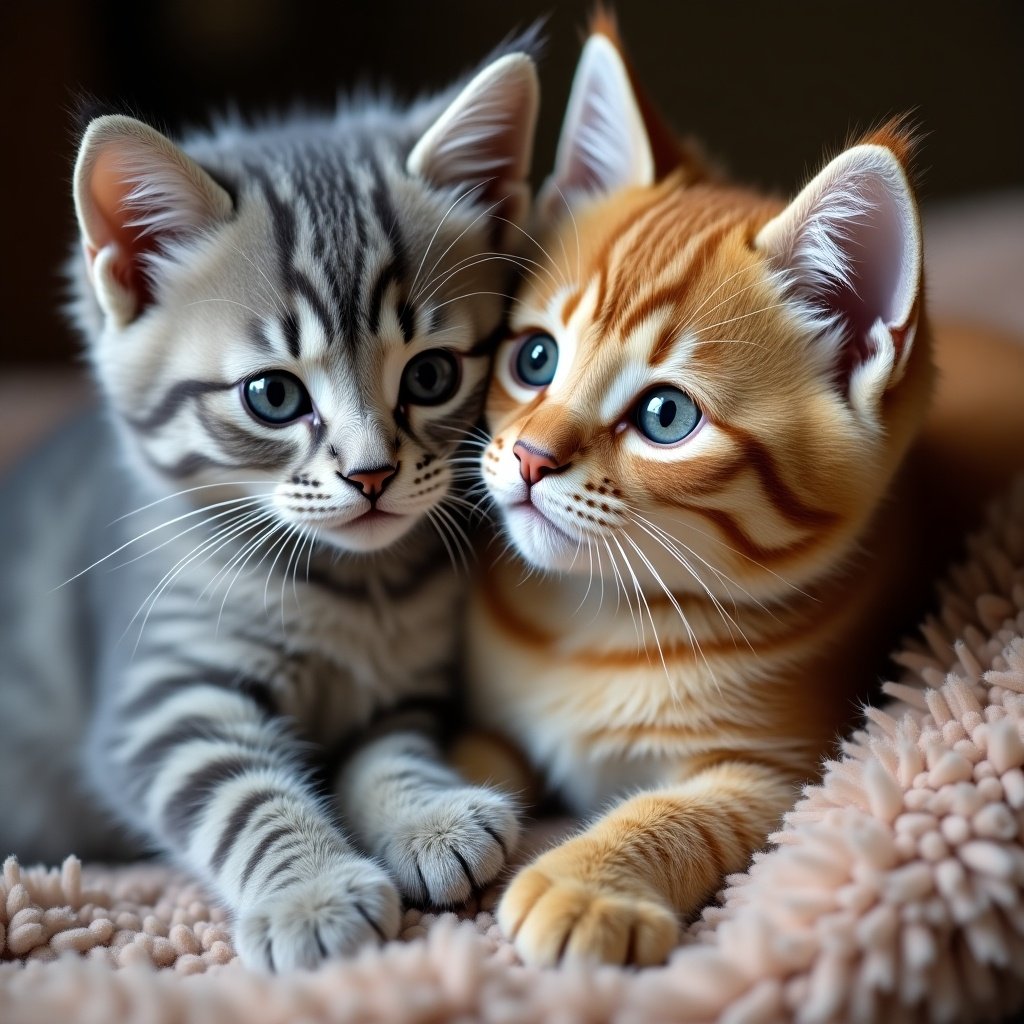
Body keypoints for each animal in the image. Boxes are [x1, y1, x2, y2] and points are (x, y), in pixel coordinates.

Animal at [0, 41, 540, 966]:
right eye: (274, 397)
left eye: (432, 376)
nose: (371, 474)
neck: (355, 592)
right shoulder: (163, 699)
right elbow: (242, 794)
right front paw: (313, 893)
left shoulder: (406, 694)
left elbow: (388, 754)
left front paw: (430, 817)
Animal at [462, 25, 1024, 966]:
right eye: (534, 359)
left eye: (665, 415)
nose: (532, 456)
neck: (591, 623)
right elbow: (463, 745)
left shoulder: (790, 770)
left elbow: (686, 812)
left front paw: (588, 884)